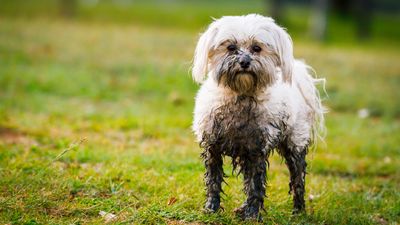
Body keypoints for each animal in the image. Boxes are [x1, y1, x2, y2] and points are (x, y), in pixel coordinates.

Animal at [191, 14, 324, 220]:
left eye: (257, 48)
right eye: (231, 47)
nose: (245, 62)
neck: (240, 95)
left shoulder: (256, 150)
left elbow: (255, 185)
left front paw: (252, 214)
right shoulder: (213, 146)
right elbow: (214, 180)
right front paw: (211, 208)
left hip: (295, 144)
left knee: (298, 180)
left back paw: (298, 210)